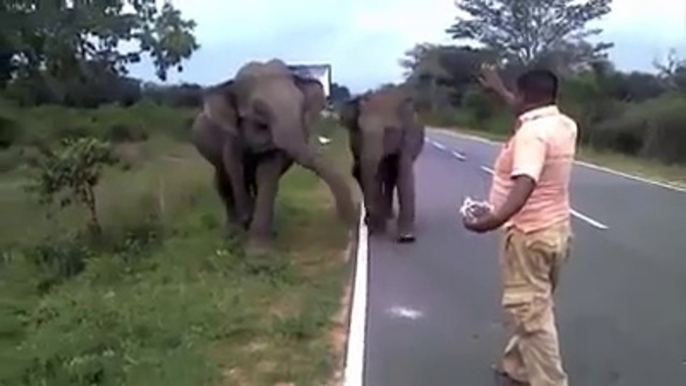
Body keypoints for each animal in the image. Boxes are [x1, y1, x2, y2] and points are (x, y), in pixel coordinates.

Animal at [191, 58, 358, 250]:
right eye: (259, 110)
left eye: (301, 104)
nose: (349, 222)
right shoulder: (229, 135)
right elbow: (234, 168)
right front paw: (246, 228)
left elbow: (267, 175)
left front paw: (259, 249)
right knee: (222, 181)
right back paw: (232, 231)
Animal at [342, 87, 428, 243]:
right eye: (360, 130)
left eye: (389, 130)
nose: (368, 221)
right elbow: (375, 176)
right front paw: (378, 229)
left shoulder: (408, 137)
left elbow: (404, 174)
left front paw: (406, 237)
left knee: (390, 176)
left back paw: (388, 216)